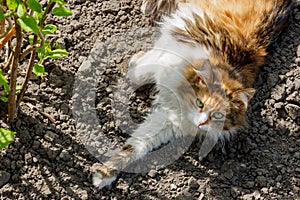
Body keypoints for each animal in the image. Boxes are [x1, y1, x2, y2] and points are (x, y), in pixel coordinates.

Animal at [92, 0, 292, 189]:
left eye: (218, 115)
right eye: (200, 103)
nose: (202, 122)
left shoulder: (167, 120)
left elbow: (134, 146)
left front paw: (105, 172)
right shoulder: (169, 50)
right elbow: (140, 72)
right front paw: (134, 62)